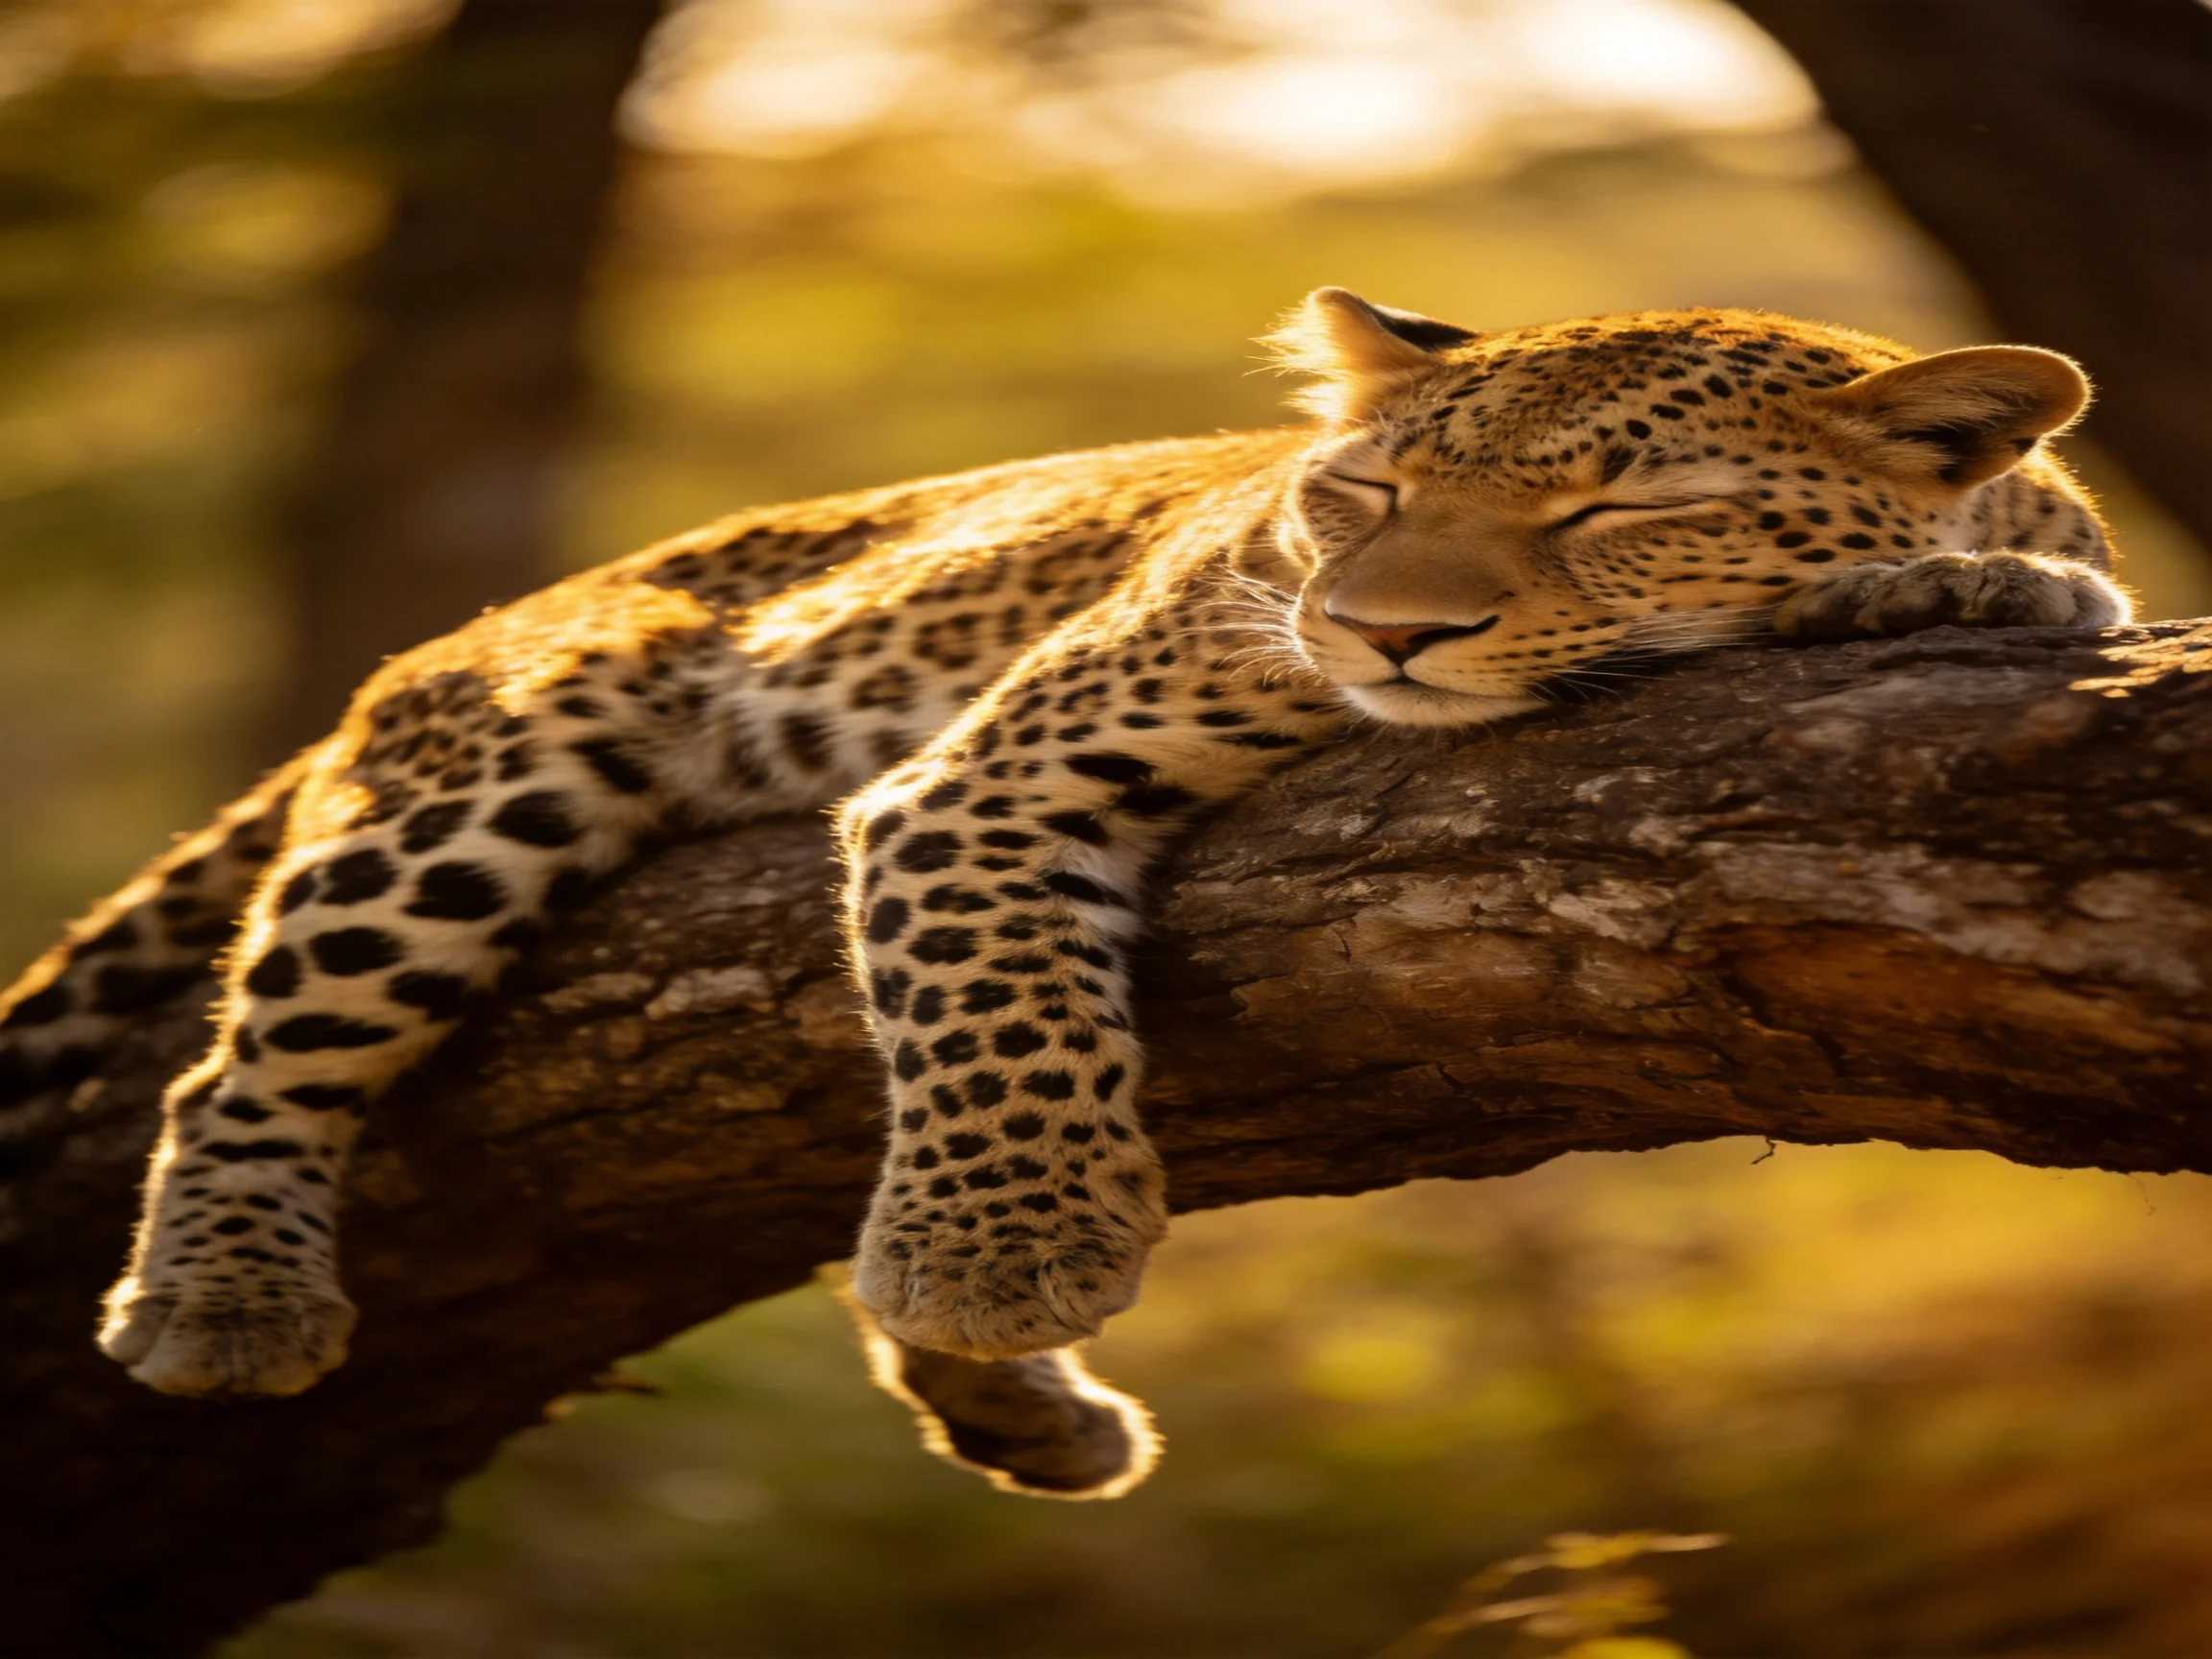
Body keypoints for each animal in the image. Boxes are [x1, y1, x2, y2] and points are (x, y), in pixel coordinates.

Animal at [0, 287, 2130, 1499]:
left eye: (1628, 510)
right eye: (1354, 493)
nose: (1378, 630)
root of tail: (487, 614)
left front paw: (1969, 579)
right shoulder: (988, 774)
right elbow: (996, 1008)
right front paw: (999, 1252)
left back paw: (1015, 1412)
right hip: (487, 774)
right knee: (247, 1057)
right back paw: (228, 1295)